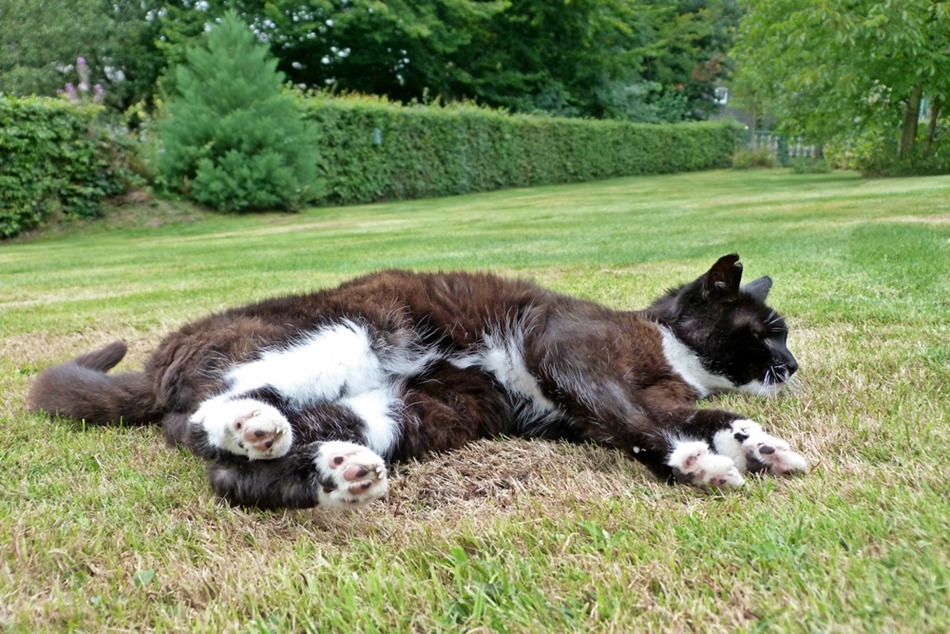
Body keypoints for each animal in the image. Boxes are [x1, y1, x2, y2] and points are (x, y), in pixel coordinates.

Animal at [27, 253, 812, 508]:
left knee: (231, 472)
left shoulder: (615, 403)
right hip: (341, 335)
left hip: (403, 410)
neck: (671, 353)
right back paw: (253, 424)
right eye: (768, 330)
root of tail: (160, 357)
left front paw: (760, 445)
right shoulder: (568, 353)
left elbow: (711, 418)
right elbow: (638, 422)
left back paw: (339, 474)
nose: (794, 364)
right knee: (201, 418)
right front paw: (696, 464)